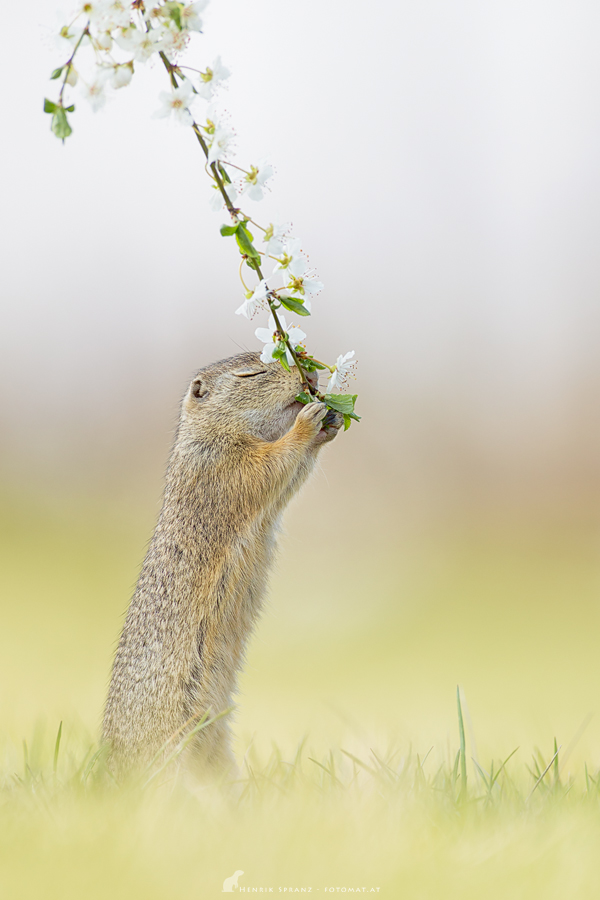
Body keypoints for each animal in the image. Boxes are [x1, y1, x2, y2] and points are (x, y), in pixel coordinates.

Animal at [101, 352, 340, 772]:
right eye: (251, 373)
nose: (310, 377)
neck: (207, 435)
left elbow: (288, 476)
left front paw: (332, 421)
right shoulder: (224, 465)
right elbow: (270, 466)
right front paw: (309, 421)